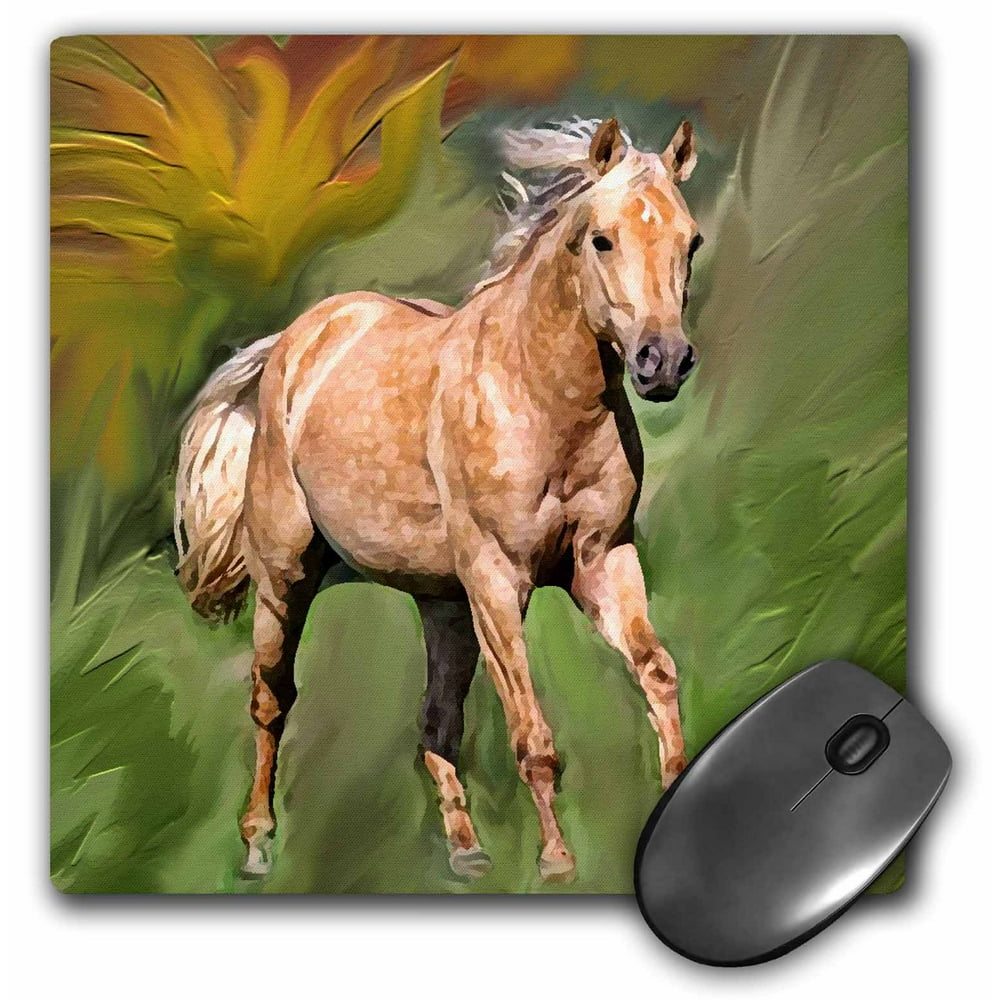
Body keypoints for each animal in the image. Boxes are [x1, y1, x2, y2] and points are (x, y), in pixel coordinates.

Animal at [175, 116, 703, 883]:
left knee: (435, 724)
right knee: (271, 701)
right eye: (601, 239)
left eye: (691, 240)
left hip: (443, 604)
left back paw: (466, 852)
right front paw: (556, 863)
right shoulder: (496, 580)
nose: (662, 362)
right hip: (285, 578)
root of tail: (297, 340)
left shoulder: (603, 562)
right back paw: (256, 844)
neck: (540, 401)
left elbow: (658, 675)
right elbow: (531, 736)